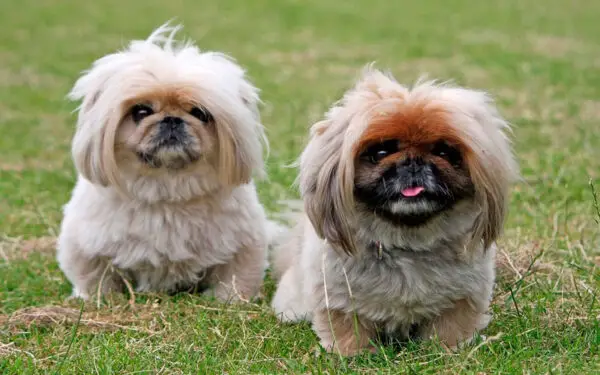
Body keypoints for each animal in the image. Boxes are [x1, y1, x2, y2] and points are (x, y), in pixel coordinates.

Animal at [56, 23, 272, 302]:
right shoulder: (85, 246)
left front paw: (229, 301)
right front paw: (98, 299)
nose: (171, 119)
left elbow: (235, 279)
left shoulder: (243, 245)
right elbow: (96, 277)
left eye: (199, 113)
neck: (166, 189)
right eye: (141, 112)